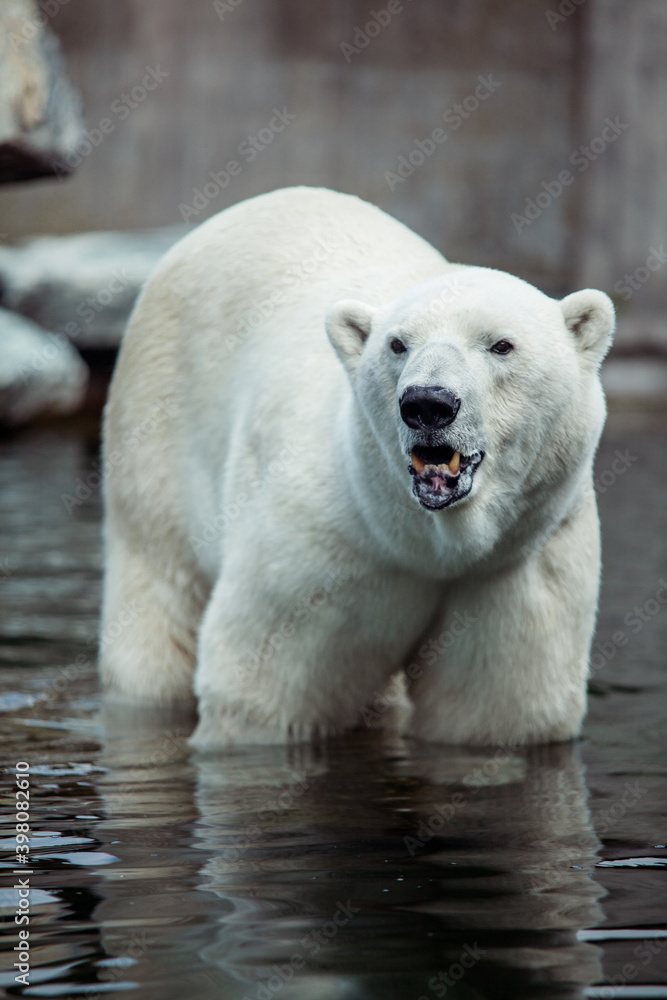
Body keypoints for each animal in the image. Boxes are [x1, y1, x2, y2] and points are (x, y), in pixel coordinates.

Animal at [100, 186, 614, 748]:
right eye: (397, 344)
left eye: (502, 344)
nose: (427, 403)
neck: (428, 545)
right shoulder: (320, 546)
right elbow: (264, 688)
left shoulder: (518, 562)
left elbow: (498, 711)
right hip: (159, 433)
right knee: (158, 603)